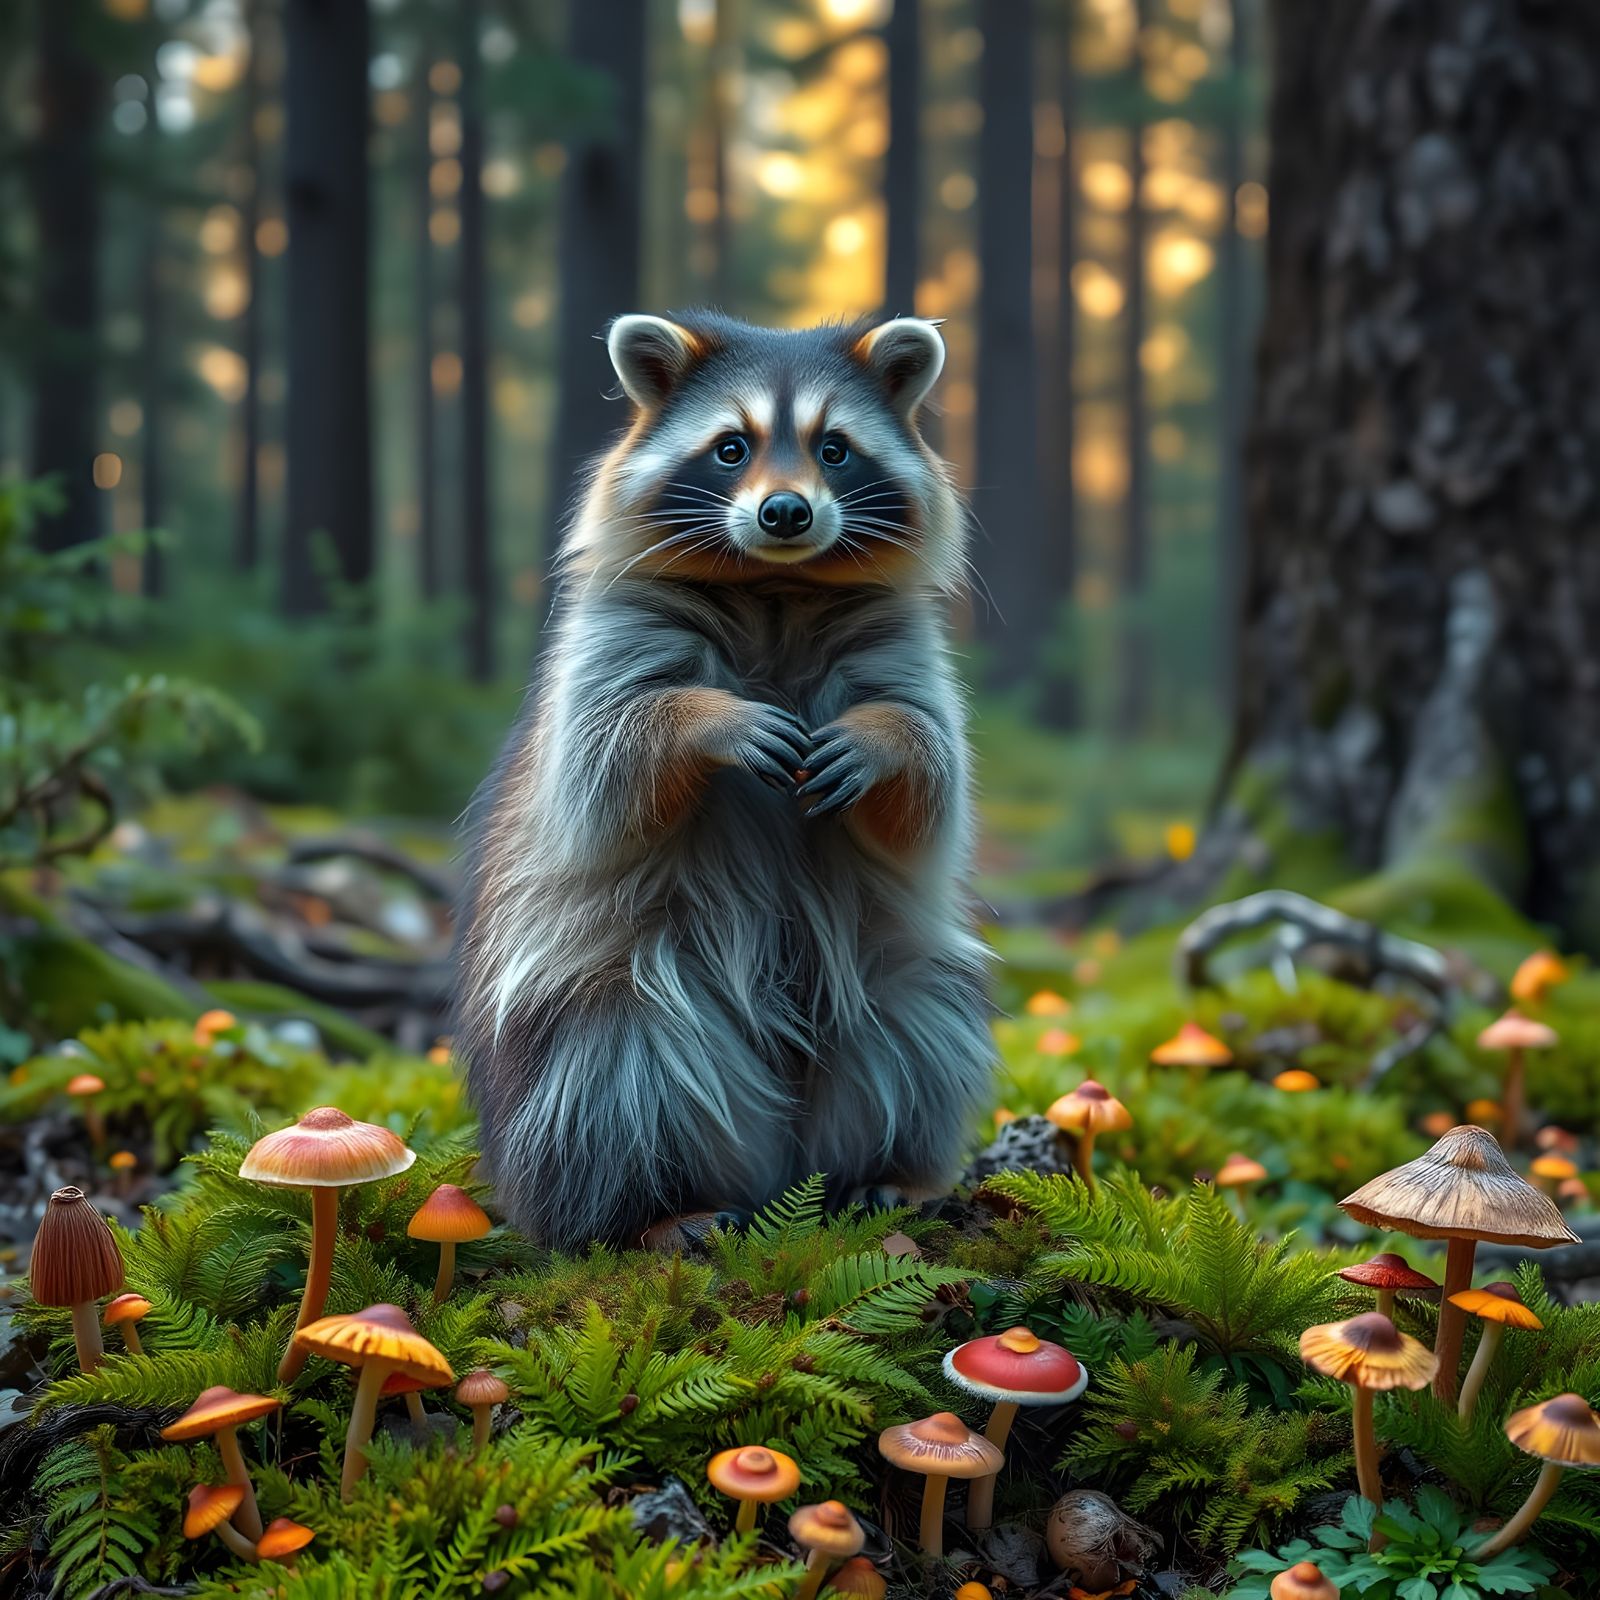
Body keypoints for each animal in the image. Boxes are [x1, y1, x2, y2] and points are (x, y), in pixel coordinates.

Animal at [455, 311, 994, 1250]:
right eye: (731, 448)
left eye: (835, 449)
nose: (786, 512)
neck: (777, 583)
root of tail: (779, 1173)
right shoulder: (606, 646)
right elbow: (605, 764)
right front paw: (710, 721)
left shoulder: (904, 649)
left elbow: (931, 781)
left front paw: (882, 742)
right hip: (586, 1024)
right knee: (613, 1081)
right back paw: (654, 1209)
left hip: (885, 990)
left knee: (916, 1031)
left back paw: (886, 1172)